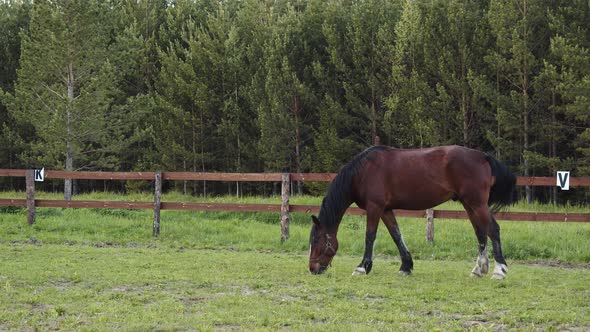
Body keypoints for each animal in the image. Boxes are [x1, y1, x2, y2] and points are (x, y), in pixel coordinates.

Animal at [310, 147, 520, 278]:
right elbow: (396, 235)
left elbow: (370, 236)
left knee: (493, 229)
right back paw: (478, 269)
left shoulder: (374, 207)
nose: (312, 268)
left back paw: (499, 270)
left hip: (477, 204)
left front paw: (362, 267)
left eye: (317, 241)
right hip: (470, 205)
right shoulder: (386, 209)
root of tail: (483, 156)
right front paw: (406, 266)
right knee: (480, 232)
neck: (363, 172)